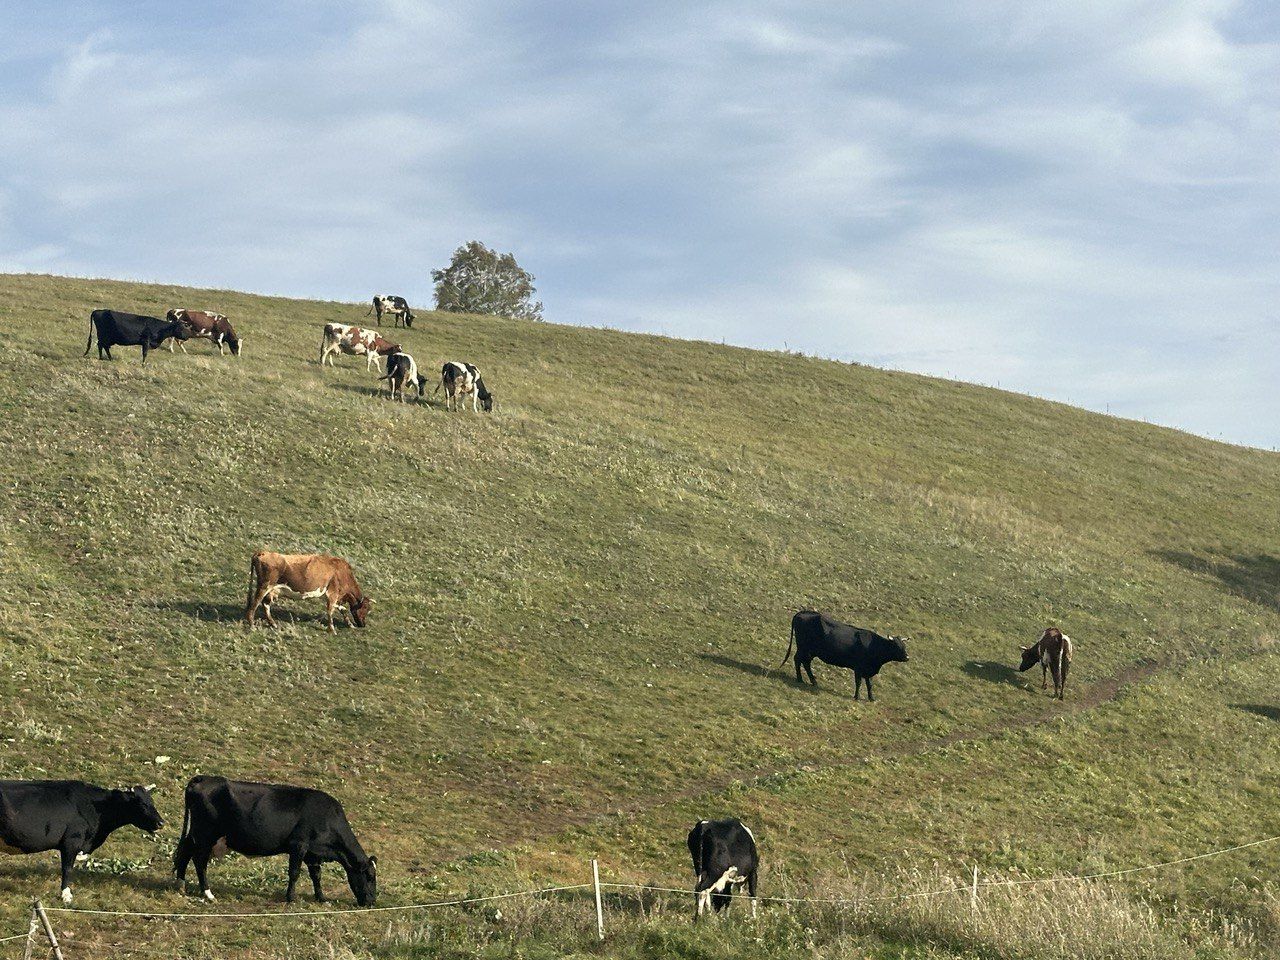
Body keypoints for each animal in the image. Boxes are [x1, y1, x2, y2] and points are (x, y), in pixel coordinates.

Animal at [0, 778, 165, 906]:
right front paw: (66, 896)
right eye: (142, 804)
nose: (161, 823)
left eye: (152, 802)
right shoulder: (71, 841)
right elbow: (67, 869)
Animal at [172, 778, 376, 906]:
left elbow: (316, 876)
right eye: (369, 877)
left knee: (184, 854)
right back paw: (208, 893)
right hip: (206, 835)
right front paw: (291, 897)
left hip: (194, 835)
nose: (372, 902)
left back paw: (180, 886)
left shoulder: (313, 853)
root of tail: (202, 778)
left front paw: (321, 898)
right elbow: (294, 873)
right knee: (199, 861)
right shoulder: (298, 845)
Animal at [244, 552, 373, 634]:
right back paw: (252, 624)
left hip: (271, 590)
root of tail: (262, 552)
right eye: (365, 608)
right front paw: (332, 629)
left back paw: (273, 624)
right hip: (264, 586)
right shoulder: (332, 593)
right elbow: (330, 610)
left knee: (265, 604)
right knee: (255, 603)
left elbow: (343, 610)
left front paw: (350, 624)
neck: (343, 572)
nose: (363, 624)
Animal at [778, 611, 911, 701]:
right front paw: (856, 696)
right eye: (896, 646)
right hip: (804, 648)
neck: (873, 646)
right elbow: (859, 682)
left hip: (810, 652)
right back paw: (800, 679)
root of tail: (803, 612)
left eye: (904, 646)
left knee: (805, 663)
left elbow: (869, 685)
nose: (907, 657)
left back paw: (813, 681)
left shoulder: (868, 669)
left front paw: (871, 698)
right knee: (798, 660)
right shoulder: (858, 668)